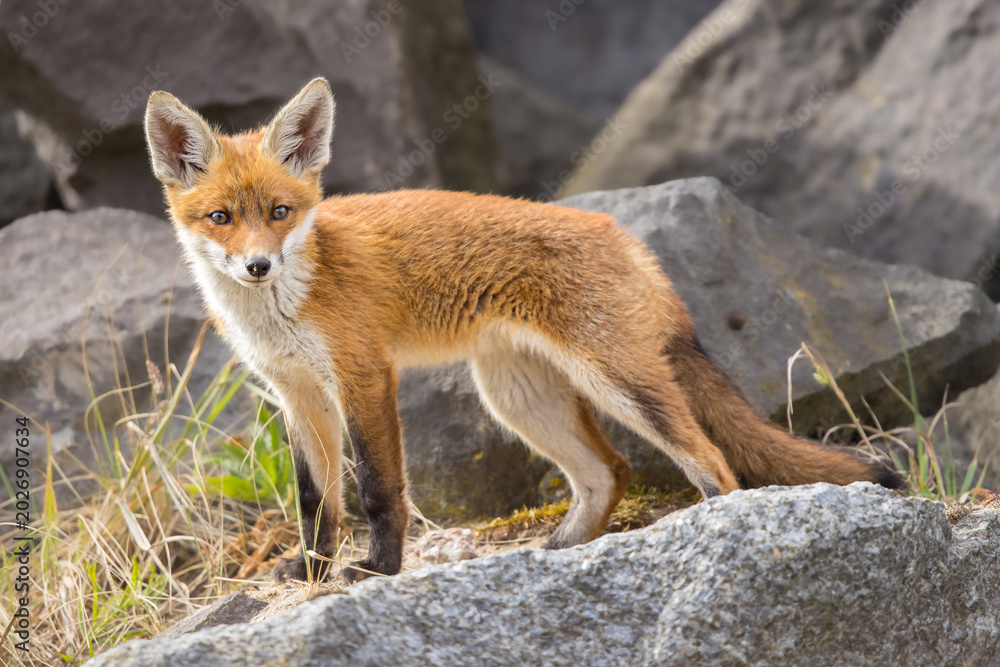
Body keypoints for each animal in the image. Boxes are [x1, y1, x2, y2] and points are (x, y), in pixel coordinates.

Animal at [144, 78, 904, 582]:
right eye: (220, 218)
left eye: (279, 211)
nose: (258, 265)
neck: (286, 303)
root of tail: (627, 237)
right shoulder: (297, 394)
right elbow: (315, 503)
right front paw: (309, 572)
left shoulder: (365, 376)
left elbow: (379, 492)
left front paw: (379, 570)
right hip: (517, 397)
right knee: (610, 472)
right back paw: (566, 551)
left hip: (619, 383)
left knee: (712, 463)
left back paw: (708, 533)